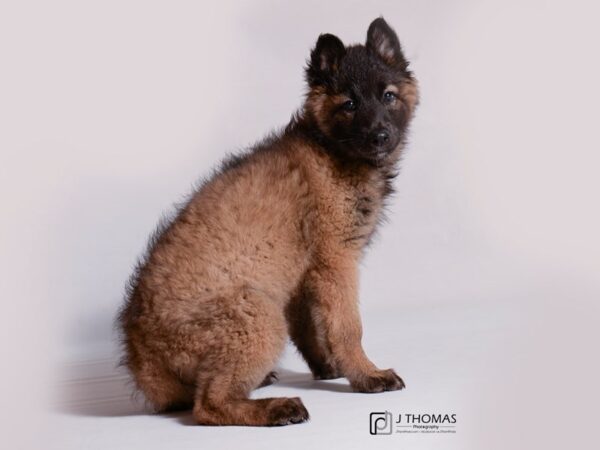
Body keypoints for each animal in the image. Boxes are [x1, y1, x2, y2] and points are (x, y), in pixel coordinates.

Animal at [117, 17, 418, 426]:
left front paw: (329, 368)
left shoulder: (303, 276)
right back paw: (276, 408)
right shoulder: (335, 262)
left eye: (388, 96)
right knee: (208, 405)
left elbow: (310, 328)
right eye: (349, 104)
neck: (331, 149)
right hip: (258, 314)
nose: (380, 136)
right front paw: (366, 375)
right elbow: (347, 327)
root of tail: (141, 357)